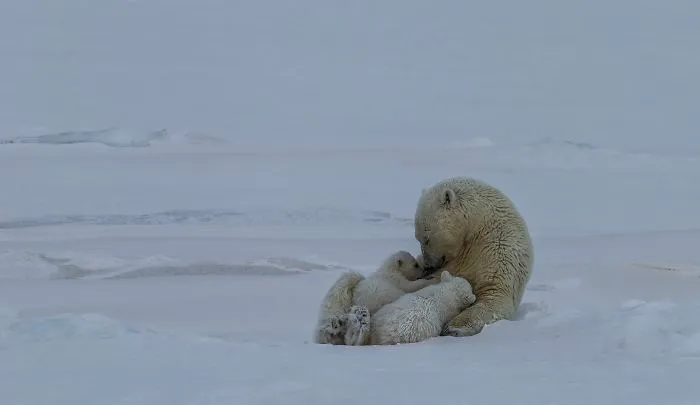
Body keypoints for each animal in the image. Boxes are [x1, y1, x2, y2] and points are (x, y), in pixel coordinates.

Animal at [414, 176, 534, 337]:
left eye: (426, 239)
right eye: (418, 238)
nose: (427, 267)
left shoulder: (497, 251)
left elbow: (494, 294)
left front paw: (454, 327)